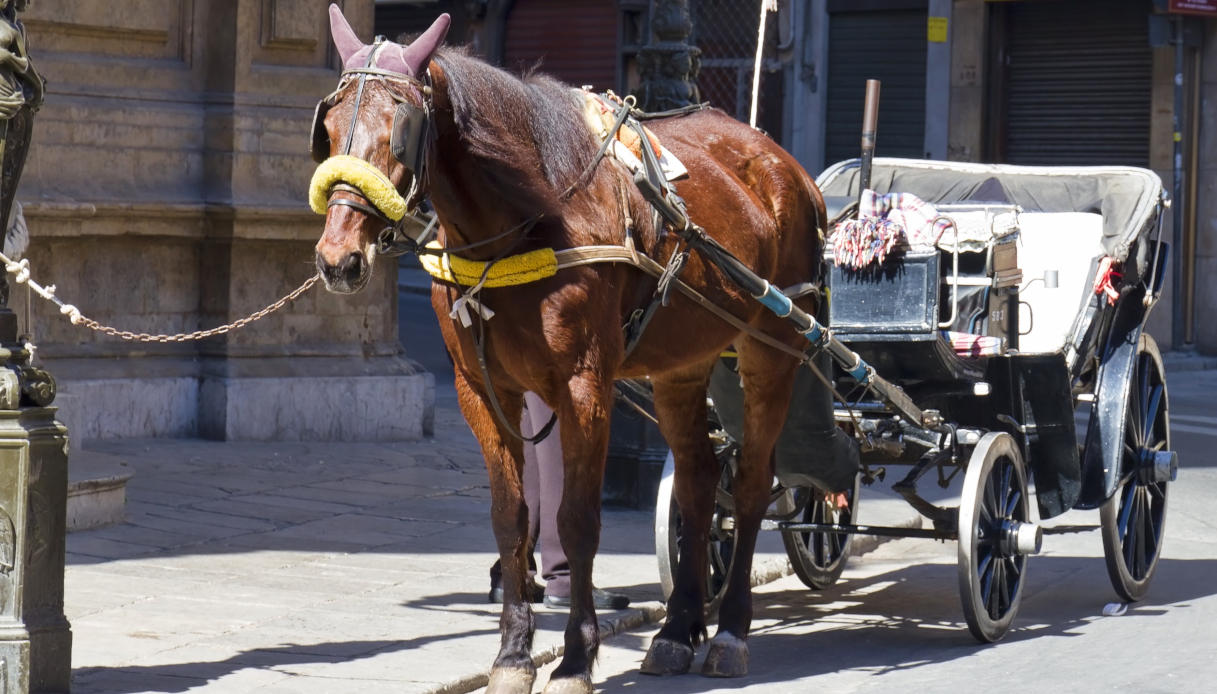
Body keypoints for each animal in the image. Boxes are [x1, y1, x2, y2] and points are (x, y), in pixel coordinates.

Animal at [311, 6, 828, 693]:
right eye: (329, 126)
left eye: (400, 132)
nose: (338, 259)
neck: (527, 220)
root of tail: (786, 166)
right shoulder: (481, 389)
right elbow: (512, 519)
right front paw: (512, 655)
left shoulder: (586, 386)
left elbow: (577, 520)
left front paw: (577, 657)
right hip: (682, 368)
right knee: (698, 482)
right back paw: (678, 627)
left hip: (773, 351)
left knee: (749, 484)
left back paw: (731, 631)